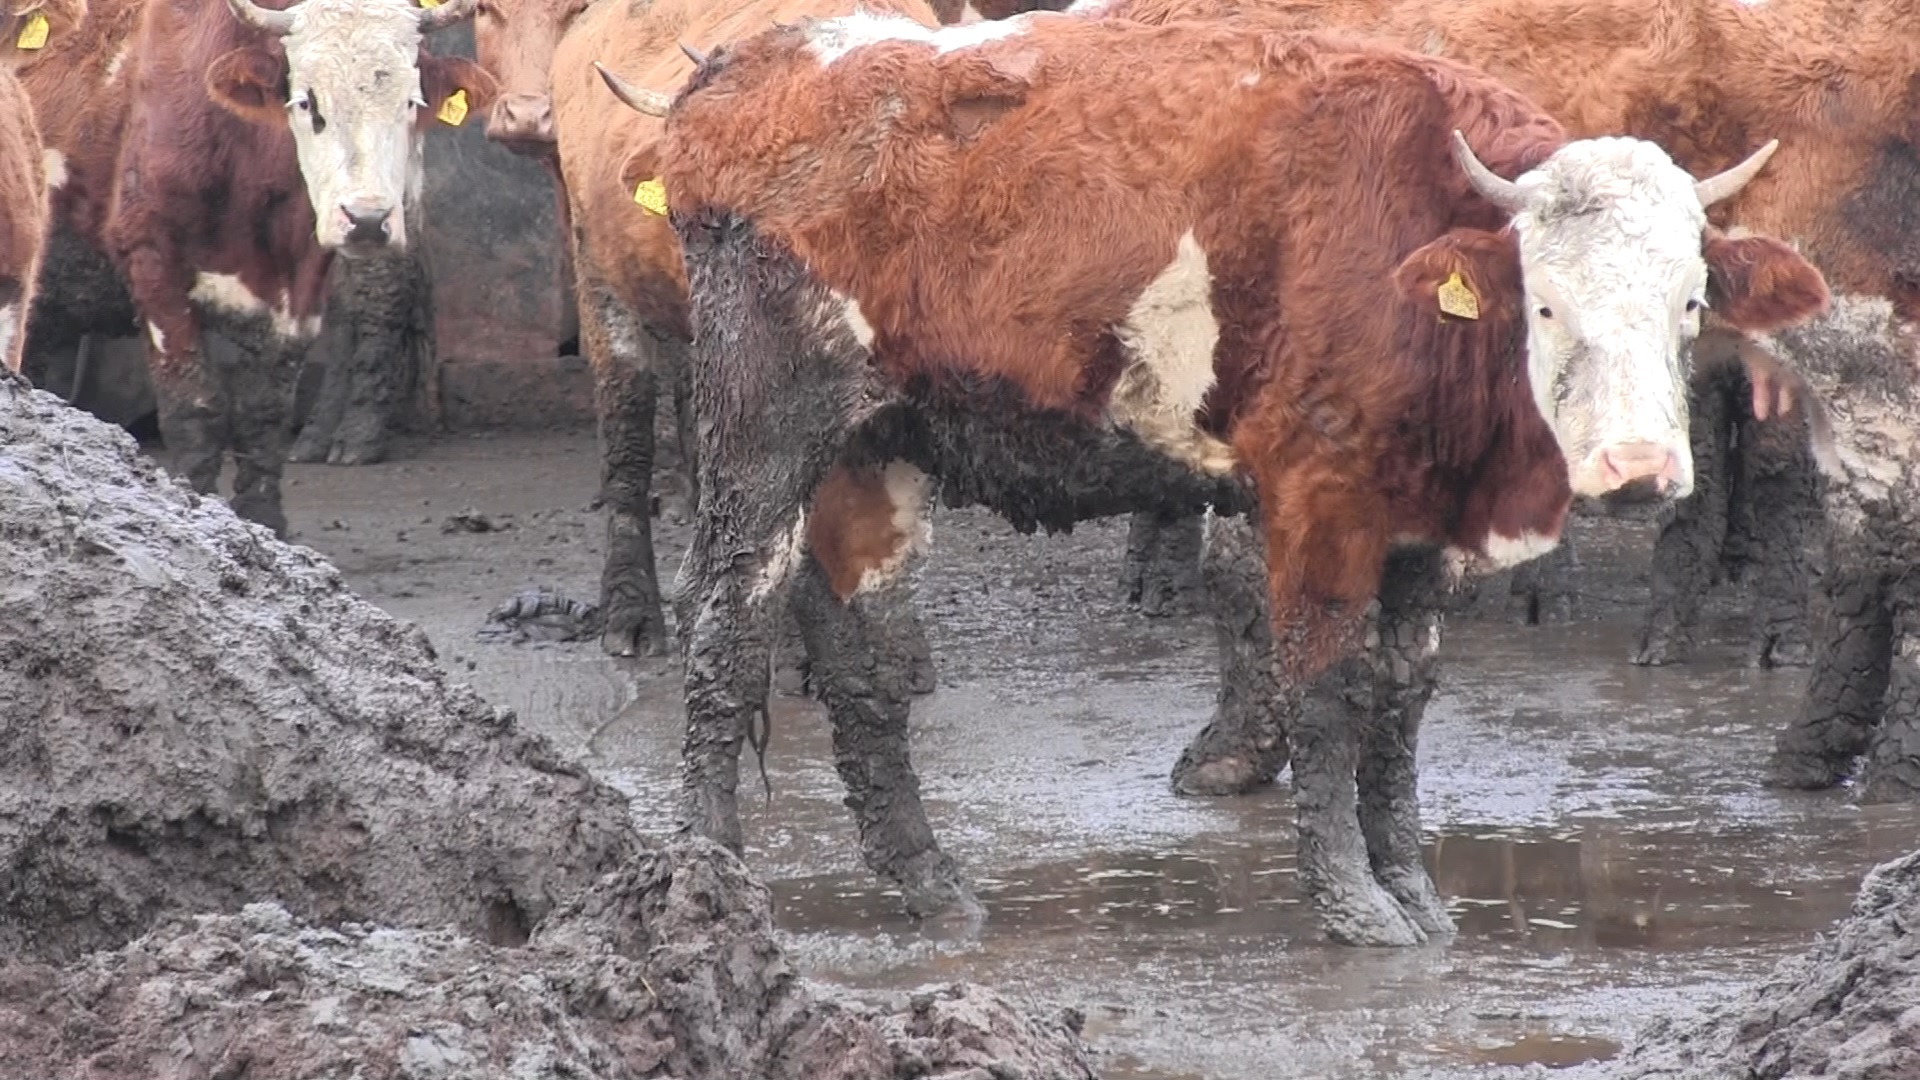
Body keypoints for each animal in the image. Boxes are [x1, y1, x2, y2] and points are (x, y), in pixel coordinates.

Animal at [19, 0, 494, 536]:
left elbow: (265, 410)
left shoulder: (300, 282)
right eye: (307, 102)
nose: (368, 220)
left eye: (411, 102)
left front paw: (264, 522)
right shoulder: (153, 262)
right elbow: (194, 407)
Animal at [597, 12, 1829, 945]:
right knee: (729, 631)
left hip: (871, 450)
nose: (1638, 468)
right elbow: (1328, 688)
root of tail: (750, 69)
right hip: (760, 433)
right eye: (1547, 305)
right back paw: (712, 877)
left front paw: (1415, 894)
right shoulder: (1318, 500)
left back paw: (929, 885)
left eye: (1688, 302)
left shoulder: (1420, 532)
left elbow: (1403, 701)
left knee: (859, 661)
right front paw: (1355, 907)